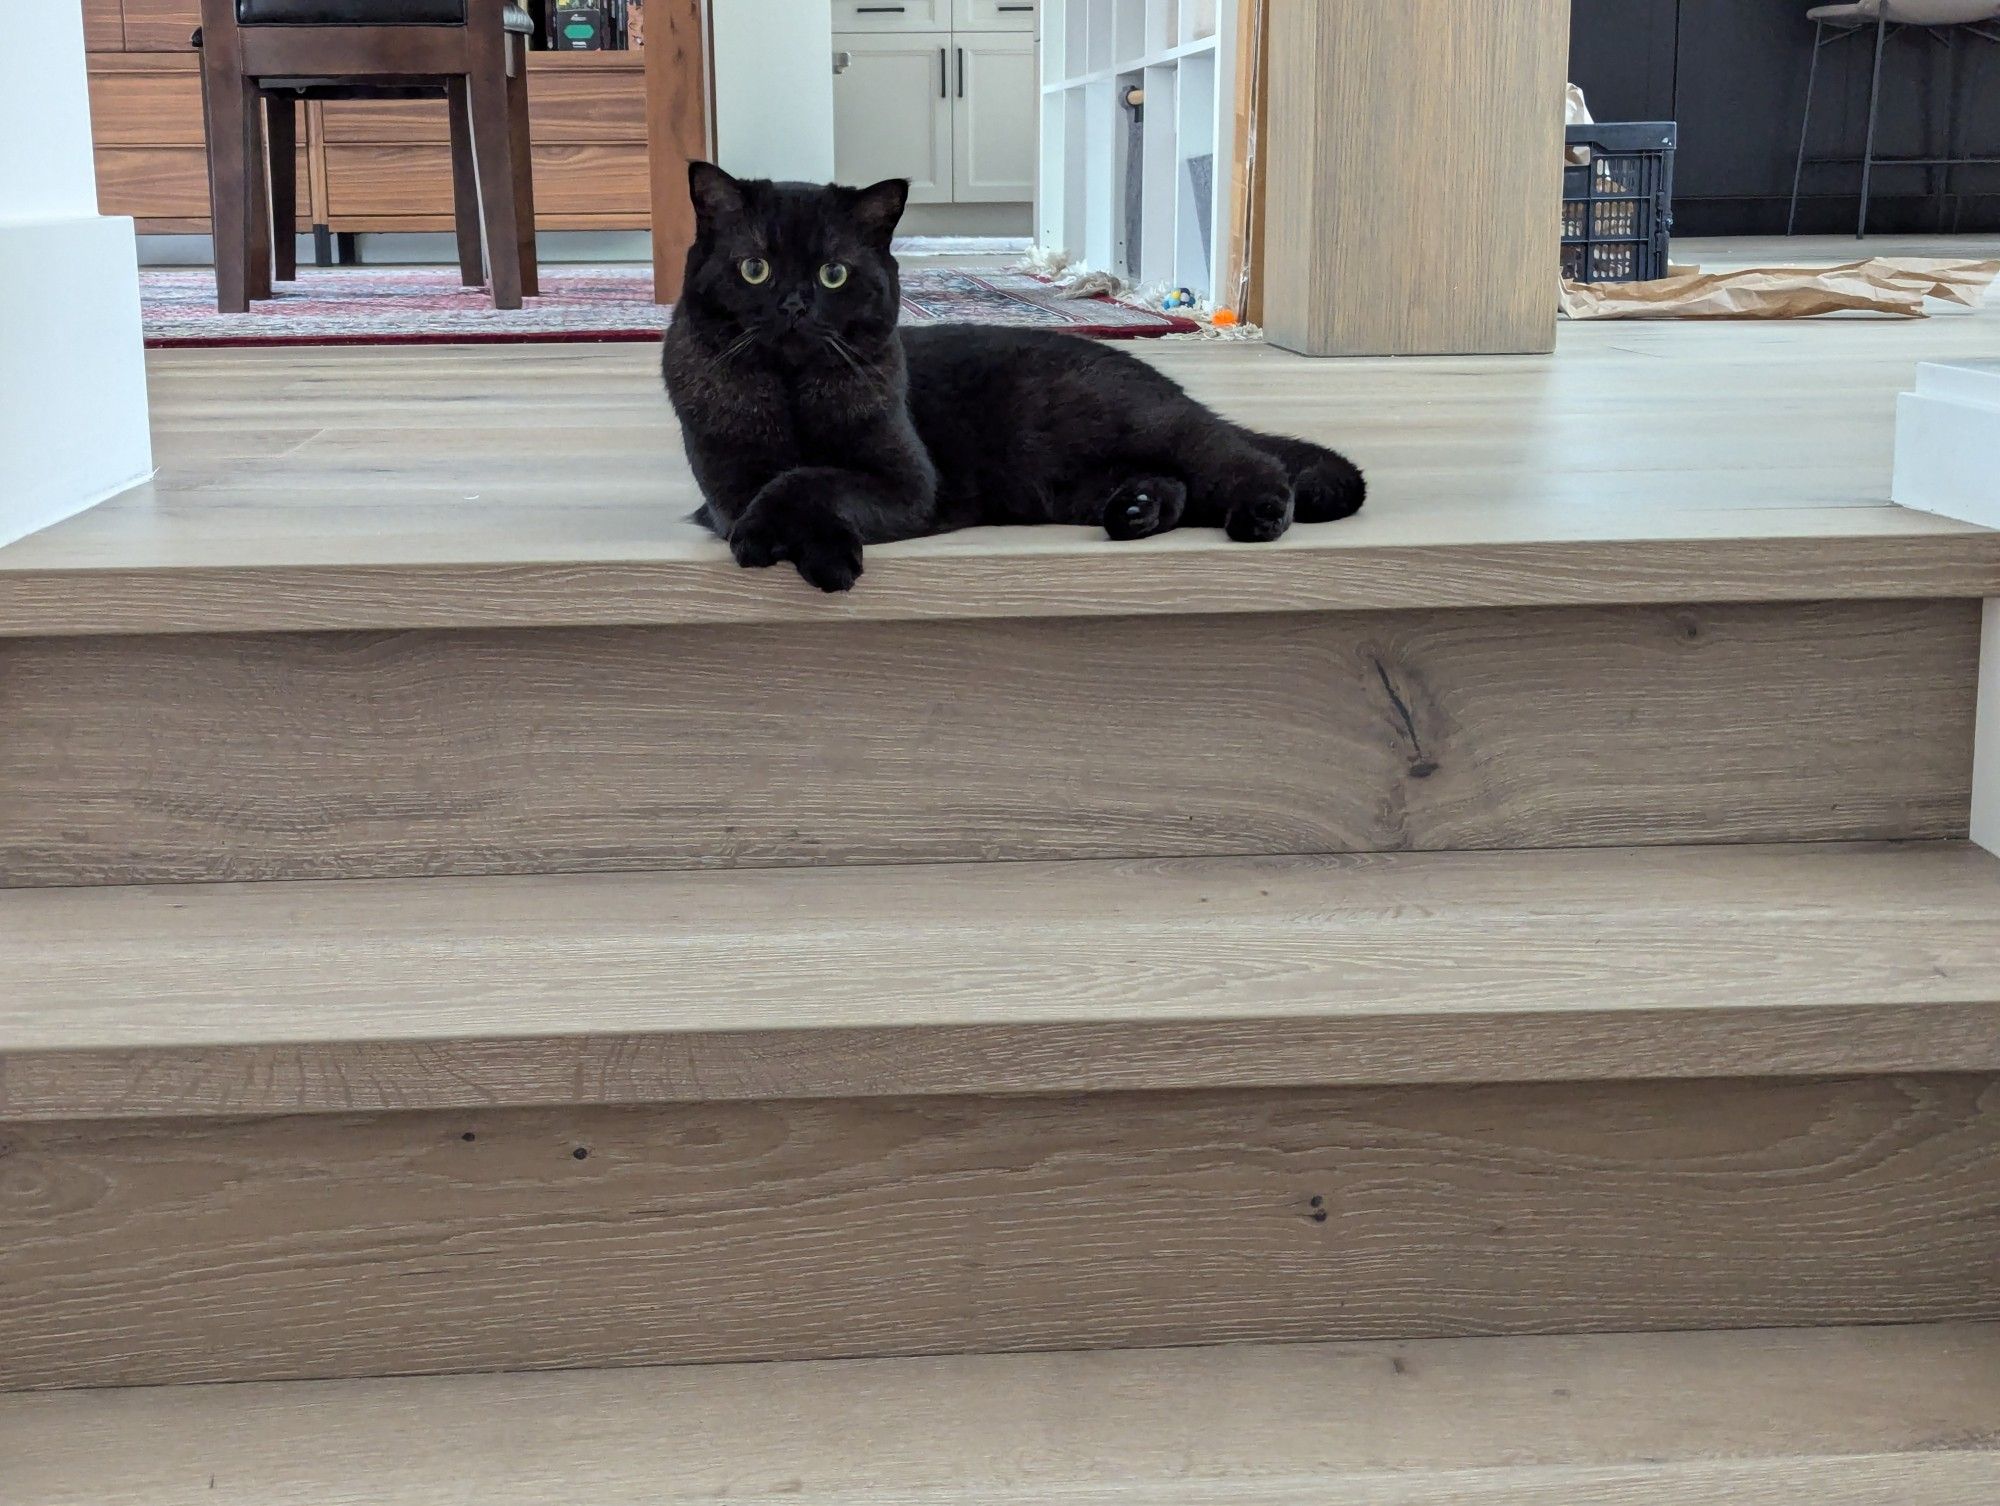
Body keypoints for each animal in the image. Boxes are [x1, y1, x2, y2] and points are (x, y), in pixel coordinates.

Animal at [664, 160, 1368, 592]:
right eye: (755, 269)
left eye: (832, 274)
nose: (793, 305)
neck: (791, 396)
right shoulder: (726, 489)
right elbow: (781, 483)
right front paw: (800, 548)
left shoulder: (906, 483)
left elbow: (809, 479)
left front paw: (817, 556)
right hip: (1070, 485)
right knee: (1179, 485)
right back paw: (1137, 511)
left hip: (1139, 428)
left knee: (1244, 459)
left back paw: (1259, 512)